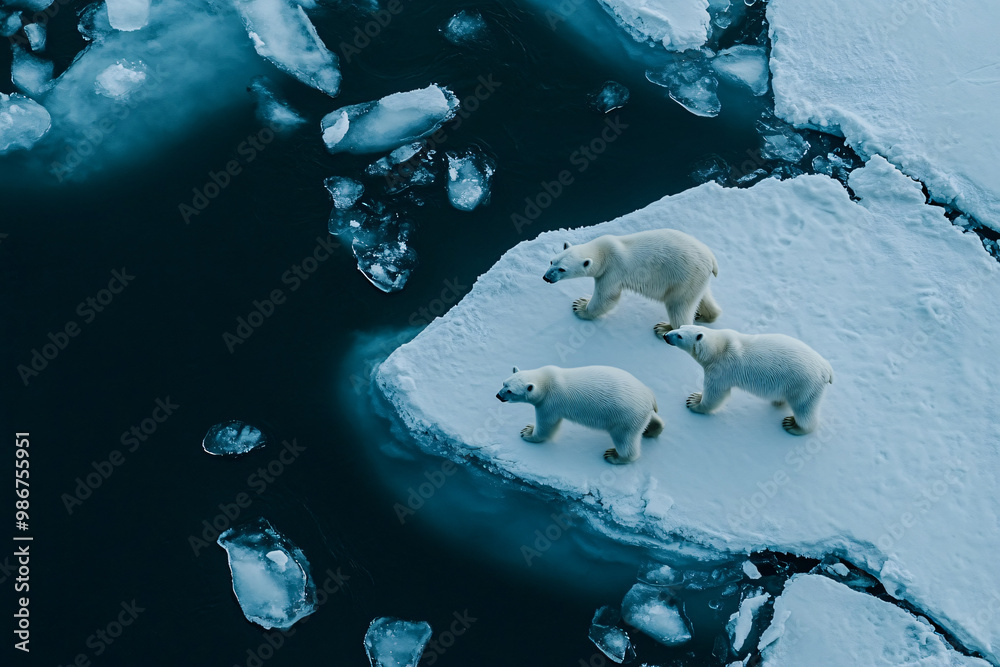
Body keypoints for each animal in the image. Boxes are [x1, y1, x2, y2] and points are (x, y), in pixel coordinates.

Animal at [495, 365, 663, 464]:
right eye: (504, 383)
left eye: (510, 391)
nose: (498, 395)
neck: (546, 380)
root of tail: (649, 397)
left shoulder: (550, 403)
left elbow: (547, 425)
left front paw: (528, 432)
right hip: (641, 412)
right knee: (652, 419)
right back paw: (652, 430)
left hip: (625, 418)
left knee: (625, 440)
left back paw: (614, 455)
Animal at [542, 229, 721, 337]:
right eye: (552, 261)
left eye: (562, 269)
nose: (546, 278)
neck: (603, 251)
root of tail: (711, 259)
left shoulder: (612, 272)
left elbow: (607, 298)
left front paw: (580, 306)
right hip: (695, 279)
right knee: (702, 297)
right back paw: (703, 315)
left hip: (684, 276)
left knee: (678, 305)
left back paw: (664, 328)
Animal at [662, 325, 834, 435]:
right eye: (680, 326)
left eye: (680, 336)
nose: (666, 336)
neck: (718, 347)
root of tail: (826, 369)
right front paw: (695, 397)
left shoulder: (721, 370)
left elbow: (716, 394)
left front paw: (694, 402)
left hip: (805, 385)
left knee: (804, 408)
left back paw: (793, 425)